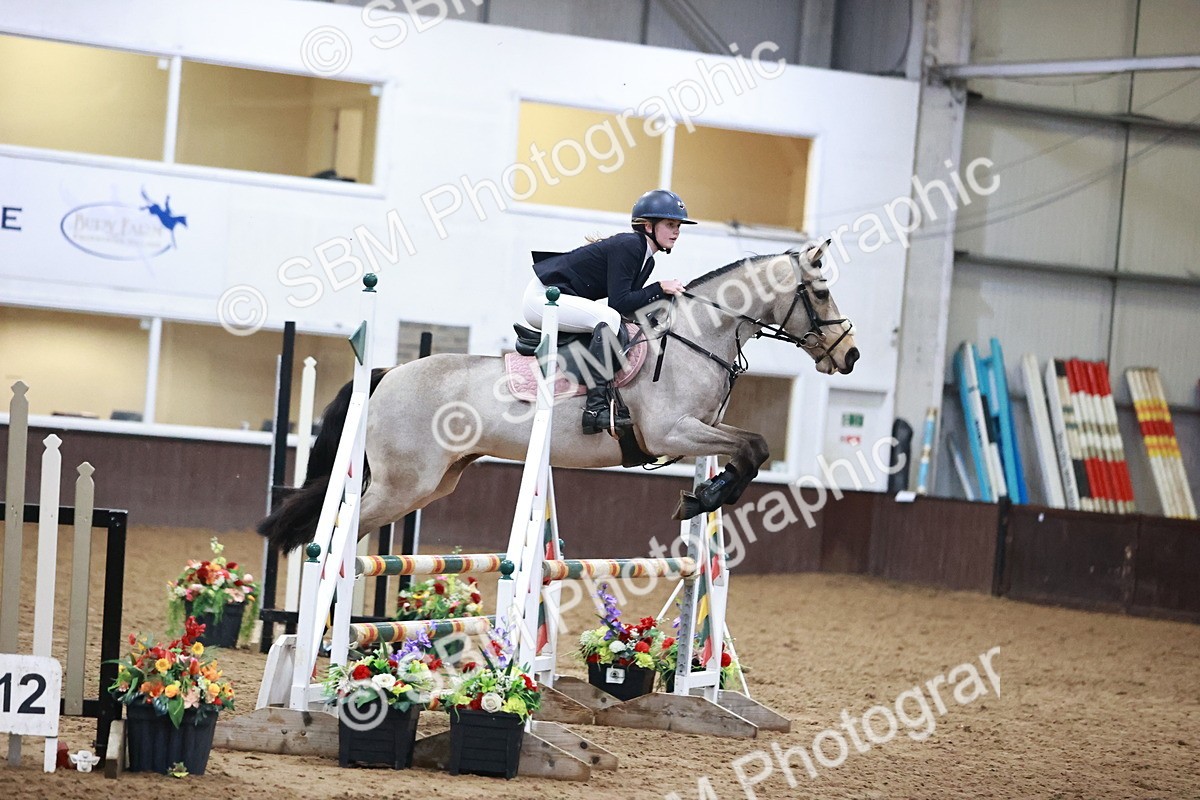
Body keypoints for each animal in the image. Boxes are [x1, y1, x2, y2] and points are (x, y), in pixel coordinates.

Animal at [259, 242, 858, 554]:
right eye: (822, 291)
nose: (849, 355)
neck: (696, 336)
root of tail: (386, 375)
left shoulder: (700, 429)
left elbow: (751, 450)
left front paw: (702, 496)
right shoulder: (672, 430)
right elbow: (753, 448)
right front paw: (702, 498)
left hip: (432, 482)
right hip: (403, 483)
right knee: (332, 533)